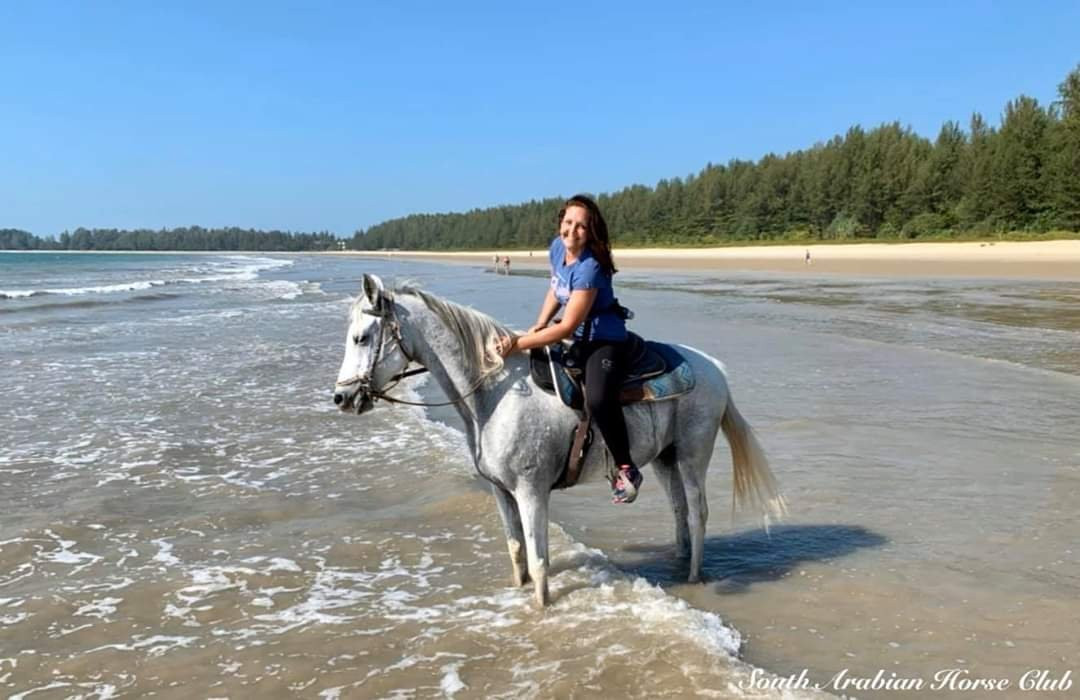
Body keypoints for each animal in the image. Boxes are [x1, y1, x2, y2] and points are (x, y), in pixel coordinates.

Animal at [333, 274, 785, 607]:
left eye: (361, 337)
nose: (342, 398)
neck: (495, 395)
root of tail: (713, 368)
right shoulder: (501, 491)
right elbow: (517, 551)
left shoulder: (531, 491)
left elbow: (539, 561)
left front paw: (541, 610)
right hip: (664, 458)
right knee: (678, 511)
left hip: (693, 453)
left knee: (697, 513)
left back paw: (693, 576)